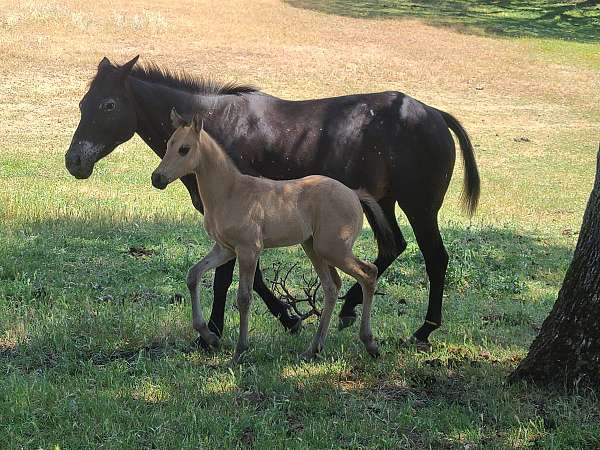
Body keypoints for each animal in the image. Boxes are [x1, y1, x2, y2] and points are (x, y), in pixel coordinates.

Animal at [64, 56, 478, 348]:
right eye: (84, 103)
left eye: (108, 105)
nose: (74, 161)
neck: (220, 126)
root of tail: (435, 114)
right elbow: (253, 276)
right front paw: (286, 319)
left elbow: (226, 279)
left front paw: (214, 331)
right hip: (383, 203)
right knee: (392, 247)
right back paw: (348, 309)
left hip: (419, 207)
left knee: (435, 258)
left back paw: (424, 330)